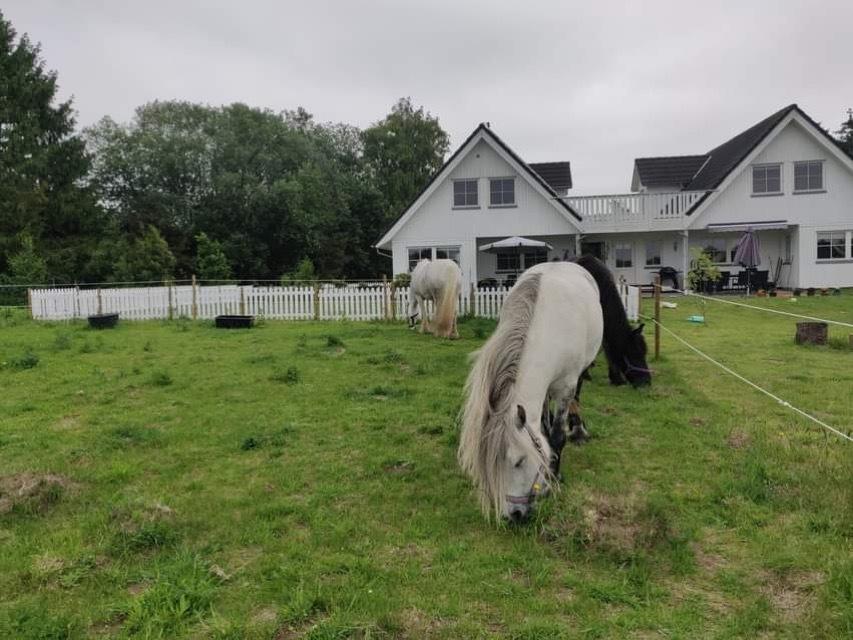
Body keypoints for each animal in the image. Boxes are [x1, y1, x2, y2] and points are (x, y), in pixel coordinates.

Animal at [458, 261, 603, 522]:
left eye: (518, 461)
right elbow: (543, 430)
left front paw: (555, 476)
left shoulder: (566, 388)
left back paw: (578, 428)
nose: (513, 515)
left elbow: (556, 436)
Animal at [573, 254, 652, 388]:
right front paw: (585, 374)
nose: (646, 382)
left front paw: (616, 378)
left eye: (644, 353)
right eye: (633, 354)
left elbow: (608, 349)